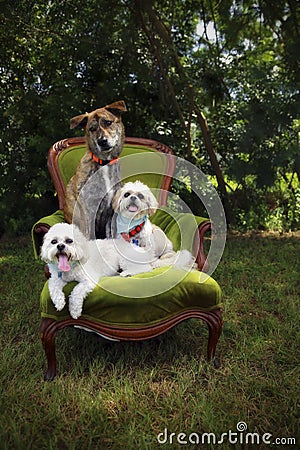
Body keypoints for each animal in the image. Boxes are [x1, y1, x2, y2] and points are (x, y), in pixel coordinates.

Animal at [64, 99, 126, 239]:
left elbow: (110, 235)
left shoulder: (110, 212)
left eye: (108, 122)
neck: (104, 163)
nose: (102, 141)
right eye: (92, 129)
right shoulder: (88, 212)